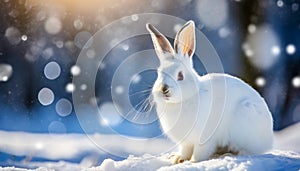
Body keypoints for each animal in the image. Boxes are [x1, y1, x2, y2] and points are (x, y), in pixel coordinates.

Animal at [146, 20, 274, 164]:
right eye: (159, 74)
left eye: (180, 75)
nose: (164, 89)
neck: (185, 99)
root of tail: (269, 140)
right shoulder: (186, 142)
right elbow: (185, 150)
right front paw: (178, 159)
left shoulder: (204, 139)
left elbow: (200, 152)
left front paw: (193, 162)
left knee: (248, 151)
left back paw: (228, 154)